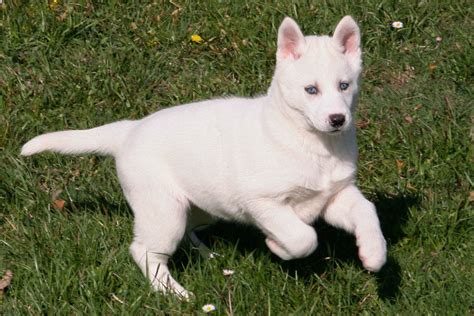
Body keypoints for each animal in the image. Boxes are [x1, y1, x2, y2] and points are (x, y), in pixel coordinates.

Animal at [20, 16, 386, 298]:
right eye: (311, 90)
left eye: (344, 86)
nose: (338, 120)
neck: (312, 143)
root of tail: (129, 130)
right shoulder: (264, 203)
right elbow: (302, 238)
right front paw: (276, 246)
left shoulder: (335, 196)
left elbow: (366, 212)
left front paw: (374, 253)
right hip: (163, 210)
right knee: (144, 251)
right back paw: (172, 292)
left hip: (199, 206)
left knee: (187, 231)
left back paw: (205, 254)